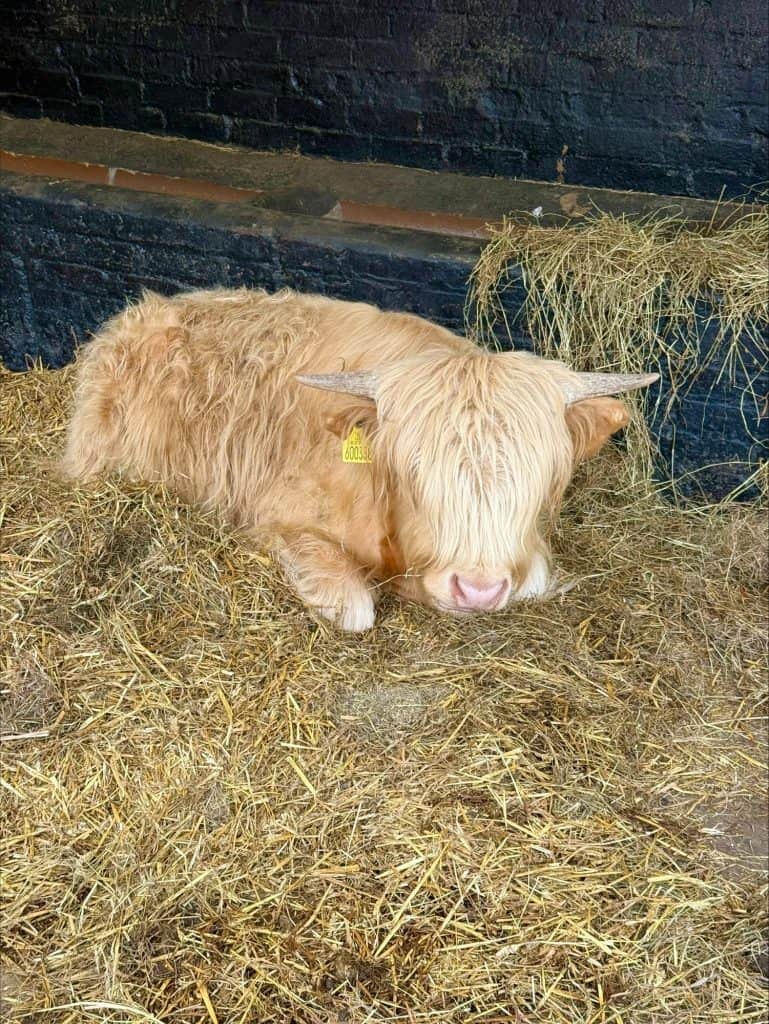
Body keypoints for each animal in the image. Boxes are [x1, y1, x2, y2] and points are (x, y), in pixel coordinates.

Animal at [61, 287, 657, 631]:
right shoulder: (282, 519)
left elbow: (532, 581)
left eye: (537, 481)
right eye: (413, 473)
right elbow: (354, 609)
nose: (478, 589)